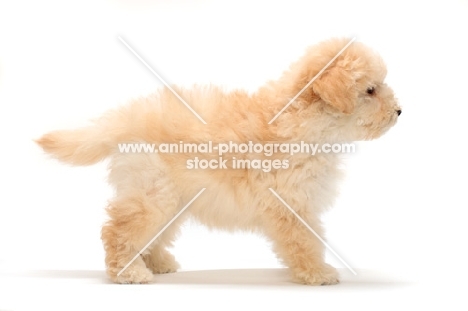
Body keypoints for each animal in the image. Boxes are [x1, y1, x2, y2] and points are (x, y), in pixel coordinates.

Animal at [37, 38, 402, 286]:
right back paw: (129, 272)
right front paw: (317, 273)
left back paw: (157, 262)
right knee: (118, 230)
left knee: (151, 233)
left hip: (171, 200)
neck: (306, 121)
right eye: (371, 90)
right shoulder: (291, 204)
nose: (400, 111)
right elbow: (305, 241)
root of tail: (127, 117)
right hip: (153, 196)